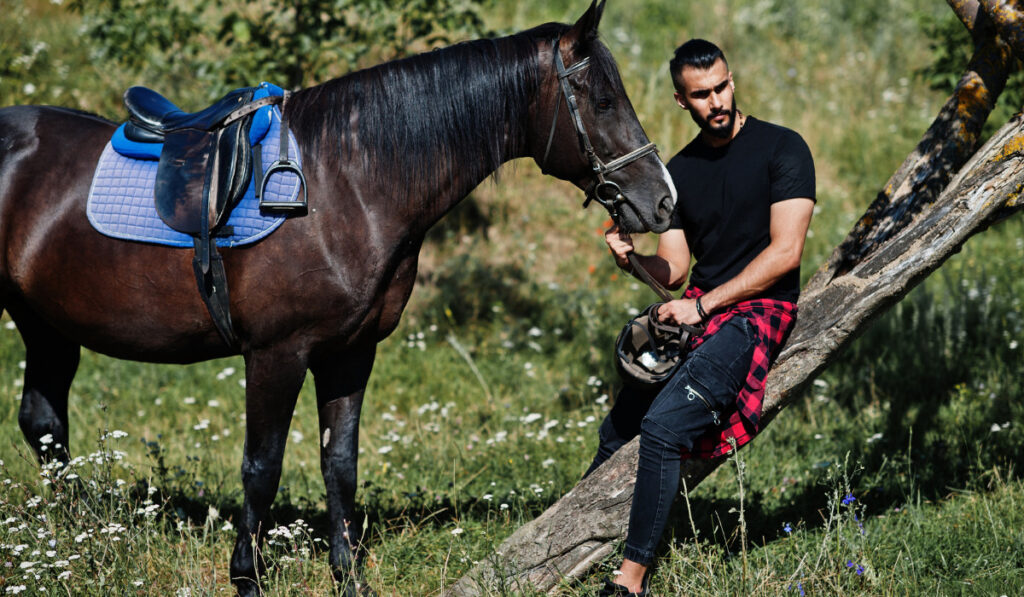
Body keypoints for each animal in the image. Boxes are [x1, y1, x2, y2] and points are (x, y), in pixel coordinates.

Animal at [0, 0, 675, 593]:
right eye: (604, 100)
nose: (663, 201)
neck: (344, 186)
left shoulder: (350, 352)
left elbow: (339, 463)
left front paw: (347, 576)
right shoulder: (276, 354)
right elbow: (261, 467)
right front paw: (247, 578)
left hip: (45, 324)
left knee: (44, 422)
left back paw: (79, 541)